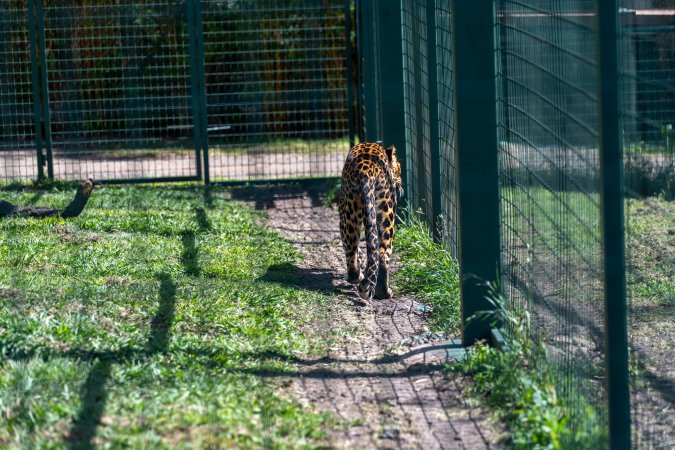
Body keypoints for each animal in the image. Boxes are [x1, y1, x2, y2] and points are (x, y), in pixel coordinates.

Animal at [338, 142, 403, 300]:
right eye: (399, 168)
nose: (401, 181)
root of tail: (367, 170)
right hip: (386, 212)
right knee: (382, 252)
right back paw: (383, 292)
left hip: (349, 215)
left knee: (351, 250)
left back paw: (355, 277)